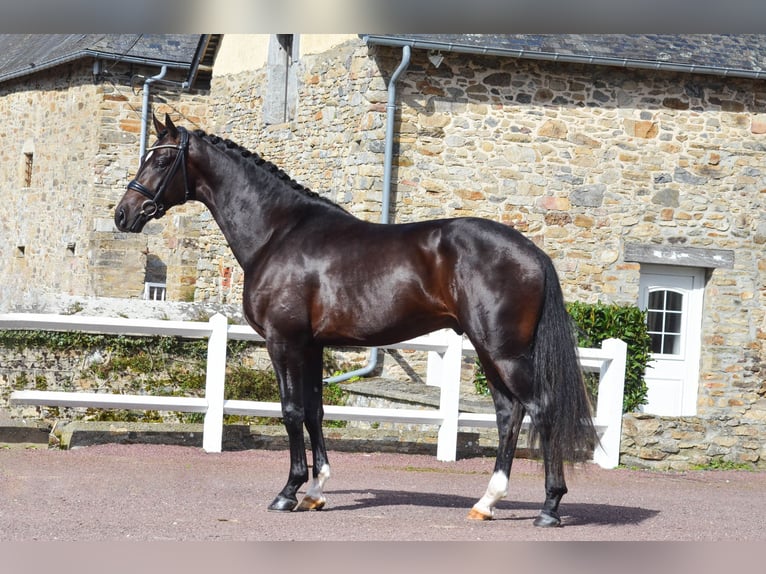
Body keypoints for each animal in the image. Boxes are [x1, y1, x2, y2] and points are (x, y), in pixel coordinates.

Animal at [115, 114, 598, 527]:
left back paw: (550, 507)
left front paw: (288, 492)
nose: (123, 214)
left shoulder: (283, 341)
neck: (278, 232)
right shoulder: (311, 346)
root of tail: (534, 253)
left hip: (504, 351)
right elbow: (315, 411)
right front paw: (315, 491)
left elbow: (291, 411)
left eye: (161, 159)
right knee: (508, 414)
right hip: (488, 351)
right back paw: (487, 502)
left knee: (541, 409)